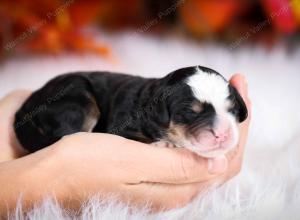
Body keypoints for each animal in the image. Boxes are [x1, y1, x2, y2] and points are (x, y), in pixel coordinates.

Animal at [14, 66, 247, 157]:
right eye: (191, 112)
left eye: (232, 109)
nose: (223, 134)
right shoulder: (120, 128)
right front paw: (163, 143)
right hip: (78, 98)